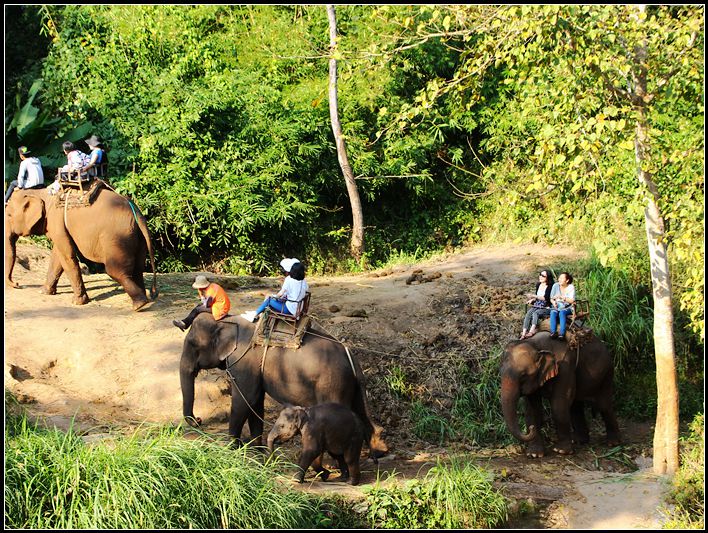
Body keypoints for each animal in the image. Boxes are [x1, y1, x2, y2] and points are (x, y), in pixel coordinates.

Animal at [4, 187, 157, 312]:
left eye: (9, 215)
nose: (17, 284)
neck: (40, 192)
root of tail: (137, 212)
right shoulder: (60, 226)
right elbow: (57, 256)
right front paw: (44, 292)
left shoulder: (56, 221)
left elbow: (67, 256)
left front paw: (78, 302)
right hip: (137, 237)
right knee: (137, 268)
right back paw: (144, 300)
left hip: (117, 238)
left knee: (115, 271)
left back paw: (139, 305)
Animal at [177, 314, 388, 460]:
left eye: (192, 343)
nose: (198, 420)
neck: (229, 321)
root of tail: (351, 356)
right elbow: (255, 402)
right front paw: (257, 451)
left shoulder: (244, 363)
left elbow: (244, 400)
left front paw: (231, 450)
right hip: (352, 386)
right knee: (361, 413)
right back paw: (374, 456)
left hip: (333, 384)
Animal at [498, 328, 620, 458]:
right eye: (500, 373)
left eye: (523, 376)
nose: (531, 429)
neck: (535, 345)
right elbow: (533, 409)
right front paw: (534, 454)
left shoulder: (564, 366)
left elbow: (559, 404)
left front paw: (561, 451)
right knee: (576, 406)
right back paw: (579, 441)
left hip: (607, 373)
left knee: (604, 405)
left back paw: (613, 443)